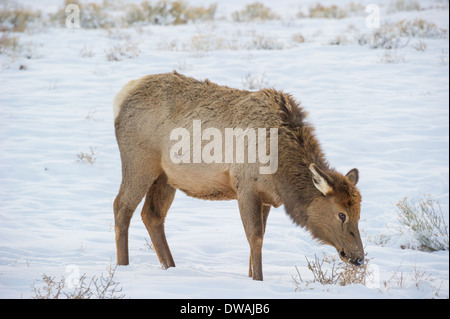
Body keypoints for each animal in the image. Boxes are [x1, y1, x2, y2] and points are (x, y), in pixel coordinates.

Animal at [113, 71, 366, 282]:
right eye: (341, 214)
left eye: (358, 213)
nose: (359, 257)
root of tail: (121, 96)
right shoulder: (246, 187)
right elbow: (255, 238)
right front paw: (258, 280)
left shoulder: (266, 197)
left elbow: (259, 238)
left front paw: (251, 276)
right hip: (139, 162)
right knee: (122, 206)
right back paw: (123, 266)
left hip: (166, 177)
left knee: (152, 215)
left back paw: (170, 266)